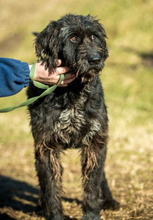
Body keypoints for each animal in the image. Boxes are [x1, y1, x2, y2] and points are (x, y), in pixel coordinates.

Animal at [27, 14, 119, 220]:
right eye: (73, 38)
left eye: (94, 36)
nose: (95, 59)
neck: (73, 91)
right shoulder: (46, 145)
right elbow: (50, 187)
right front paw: (54, 215)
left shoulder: (95, 141)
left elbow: (93, 184)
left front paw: (92, 214)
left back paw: (109, 200)